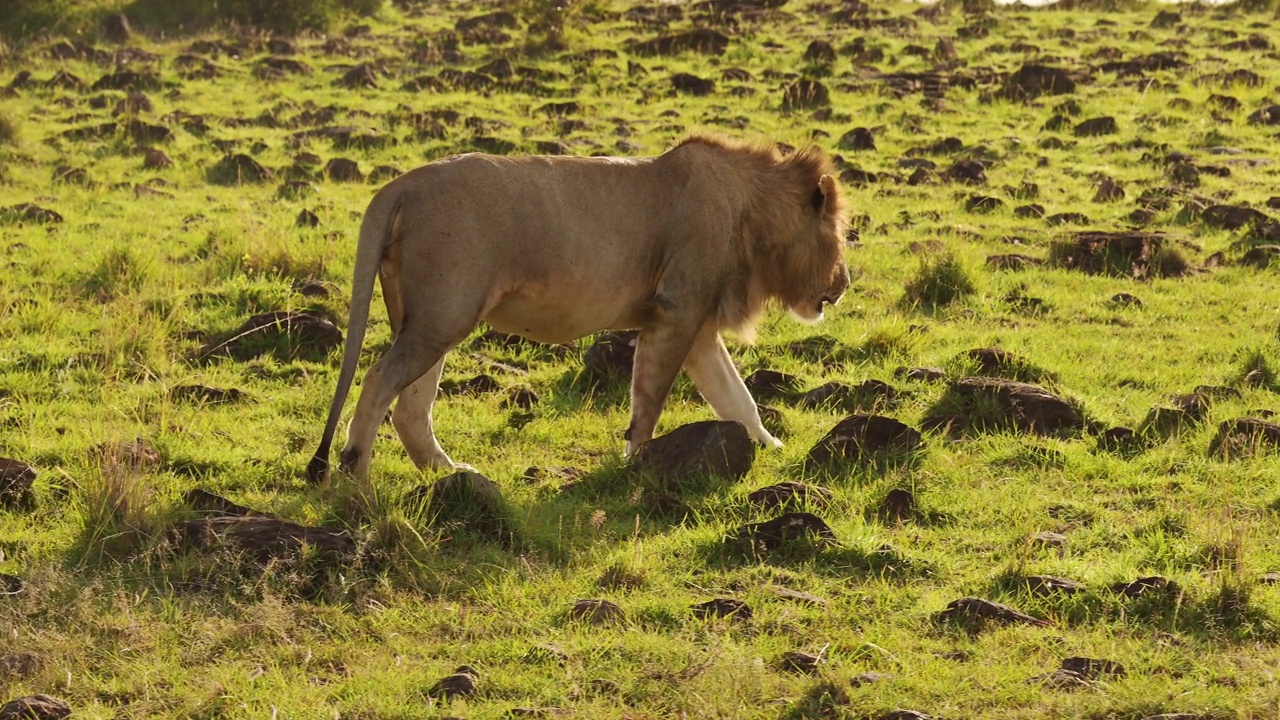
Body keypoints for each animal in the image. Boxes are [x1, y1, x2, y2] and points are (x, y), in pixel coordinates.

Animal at [307, 134, 849, 481]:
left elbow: (737, 398)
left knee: (410, 406)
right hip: (443, 314)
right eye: (843, 234)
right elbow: (650, 400)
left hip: (428, 317)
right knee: (380, 381)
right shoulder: (675, 311)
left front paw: (771, 448)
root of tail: (400, 185)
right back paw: (356, 477)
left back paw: (446, 471)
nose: (843, 284)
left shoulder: (696, 329)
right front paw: (636, 462)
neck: (752, 211)